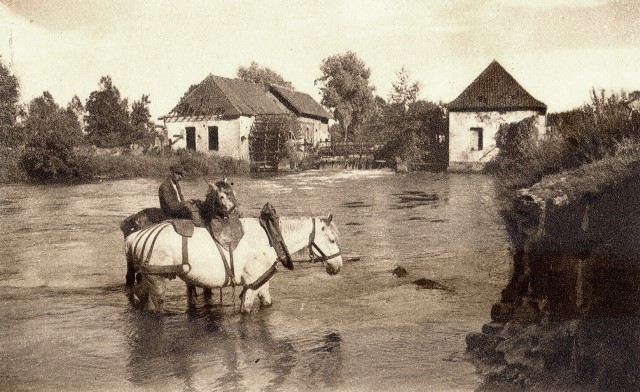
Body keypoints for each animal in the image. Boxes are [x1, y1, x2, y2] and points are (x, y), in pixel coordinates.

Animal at [124, 214, 340, 312]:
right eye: (331, 240)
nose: (338, 267)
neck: (269, 238)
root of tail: (133, 237)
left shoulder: (262, 281)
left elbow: (267, 302)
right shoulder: (251, 284)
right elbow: (246, 310)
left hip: (146, 280)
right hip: (157, 280)